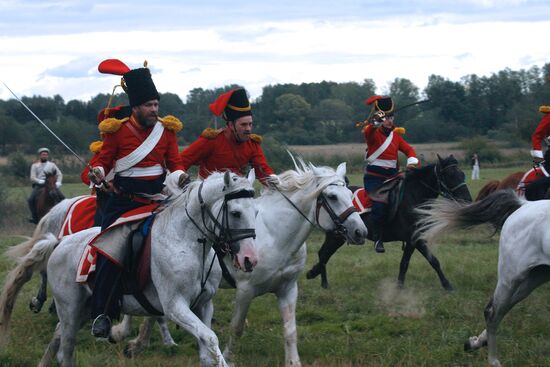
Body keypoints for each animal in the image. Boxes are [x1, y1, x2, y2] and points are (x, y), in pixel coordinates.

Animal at [0, 172, 260, 367]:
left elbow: (207, 351)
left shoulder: (204, 305)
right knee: (66, 350)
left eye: (256, 212)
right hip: (70, 308)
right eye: (236, 212)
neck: (184, 241)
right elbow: (210, 338)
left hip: (82, 309)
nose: (250, 259)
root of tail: (60, 242)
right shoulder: (175, 306)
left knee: (58, 336)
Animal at [115, 162, 370, 367]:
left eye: (349, 193)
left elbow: (290, 330)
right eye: (332, 197)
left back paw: (141, 342)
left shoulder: (288, 288)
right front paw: (227, 356)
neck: (276, 235)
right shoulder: (246, 290)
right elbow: (236, 327)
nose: (360, 232)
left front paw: (293, 361)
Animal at [306, 155, 474, 294]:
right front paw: (447, 285)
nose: (467, 200)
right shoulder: (415, 238)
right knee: (323, 254)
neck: (413, 197)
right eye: (450, 175)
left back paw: (318, 278)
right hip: (335, 237)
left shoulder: (413, 240)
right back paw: (321, 281)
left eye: (462, 174)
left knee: (323, 254)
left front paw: (399, 287)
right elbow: (430, 260)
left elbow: (409, 263)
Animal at [418, 190, 550, 367]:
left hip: (537, 275)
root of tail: (524, 204)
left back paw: (474, 343)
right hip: (512, 276)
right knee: (492, 312)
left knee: (501, 309)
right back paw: (493, 360)